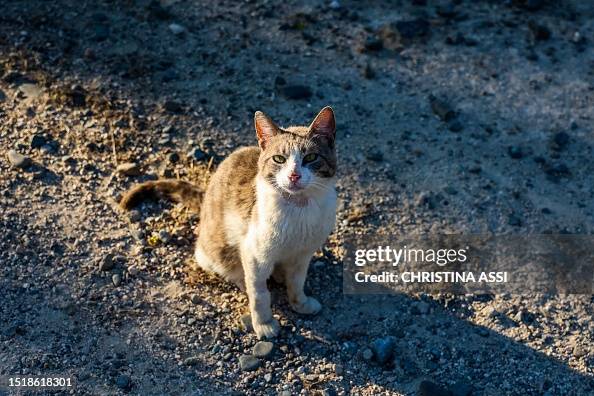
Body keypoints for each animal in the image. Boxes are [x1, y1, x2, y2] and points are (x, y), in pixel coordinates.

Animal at [121, 106, 336, 338]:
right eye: (279, 159)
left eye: (311, 157)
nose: (294, 175)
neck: (299, 210)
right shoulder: (254, 254)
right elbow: (259, 293)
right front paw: (264, 323)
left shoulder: (304, 253)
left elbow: (297, 282)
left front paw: (300, 303)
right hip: (215, 252)